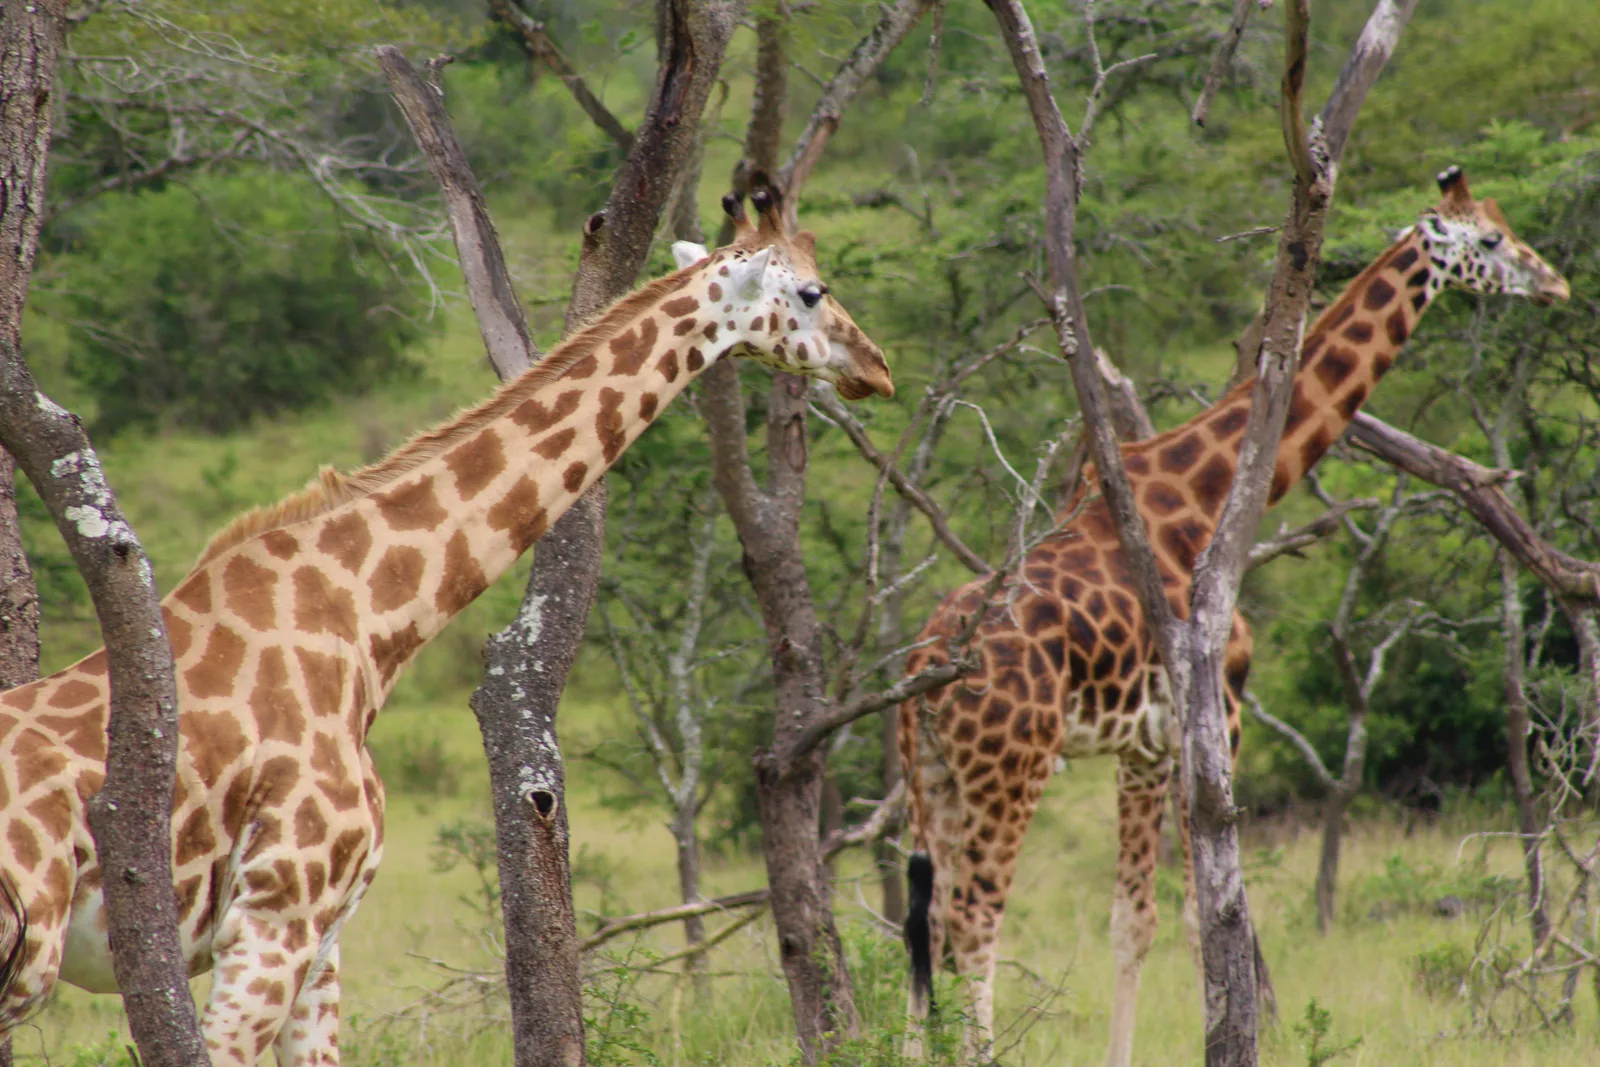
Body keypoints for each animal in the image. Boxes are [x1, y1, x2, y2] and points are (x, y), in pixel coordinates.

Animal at [0, 185, 890, 1065]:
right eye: (813, 291)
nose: (876, 366)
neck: (365, 623)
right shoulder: (279, 909)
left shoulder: (324, 933)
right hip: (29, 953)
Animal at [898, 167, 1570, 1066]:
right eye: (1492, 240)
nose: (1555, 284)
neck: (1204, 498)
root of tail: (920, 665)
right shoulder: (1219, 711)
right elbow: (1207, 918)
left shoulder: (1142, 745)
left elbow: (1132, 922)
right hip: (1011, 766)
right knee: (973, 922)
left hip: (933, 773)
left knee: (925, 922)